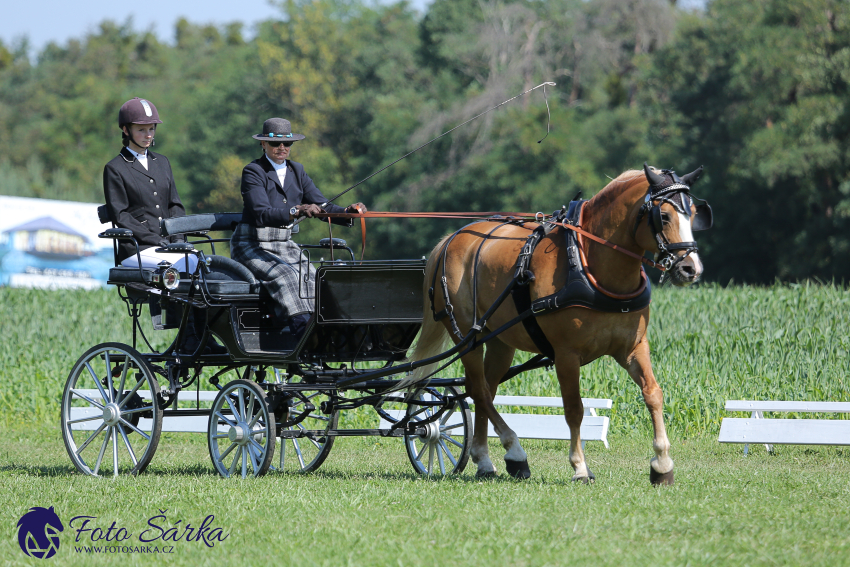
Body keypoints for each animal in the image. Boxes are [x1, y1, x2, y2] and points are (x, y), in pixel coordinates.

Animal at [408, 166, 704, 486]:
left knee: (484, 389)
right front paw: (580, 467)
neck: (588, 263)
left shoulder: (633, 347)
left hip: (498, 341)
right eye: (664, 216)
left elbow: (653, 394)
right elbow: (574, 409)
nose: (691, 269)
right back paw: (514, 451)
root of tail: (453, 238)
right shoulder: (566, 354)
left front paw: (662, 463)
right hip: (466, 336)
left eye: (693, 213)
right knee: (479, 390)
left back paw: (485, 460)